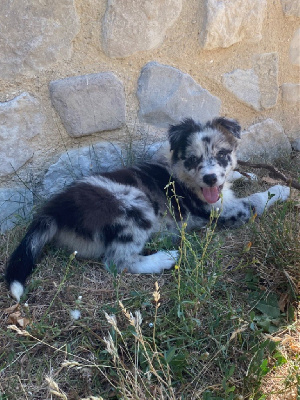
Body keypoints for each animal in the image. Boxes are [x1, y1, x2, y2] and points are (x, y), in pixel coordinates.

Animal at [5, 118, 290, 300]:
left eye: (222, 155)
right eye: (193, 159)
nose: (210, 178)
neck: (184, 178)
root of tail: (56, 209)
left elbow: (238, 179)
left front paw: (247, 175)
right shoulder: (224, 212)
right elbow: (256, 200)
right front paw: (282, 190)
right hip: (136, 204)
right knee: (117, 262)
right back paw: (164, 258)